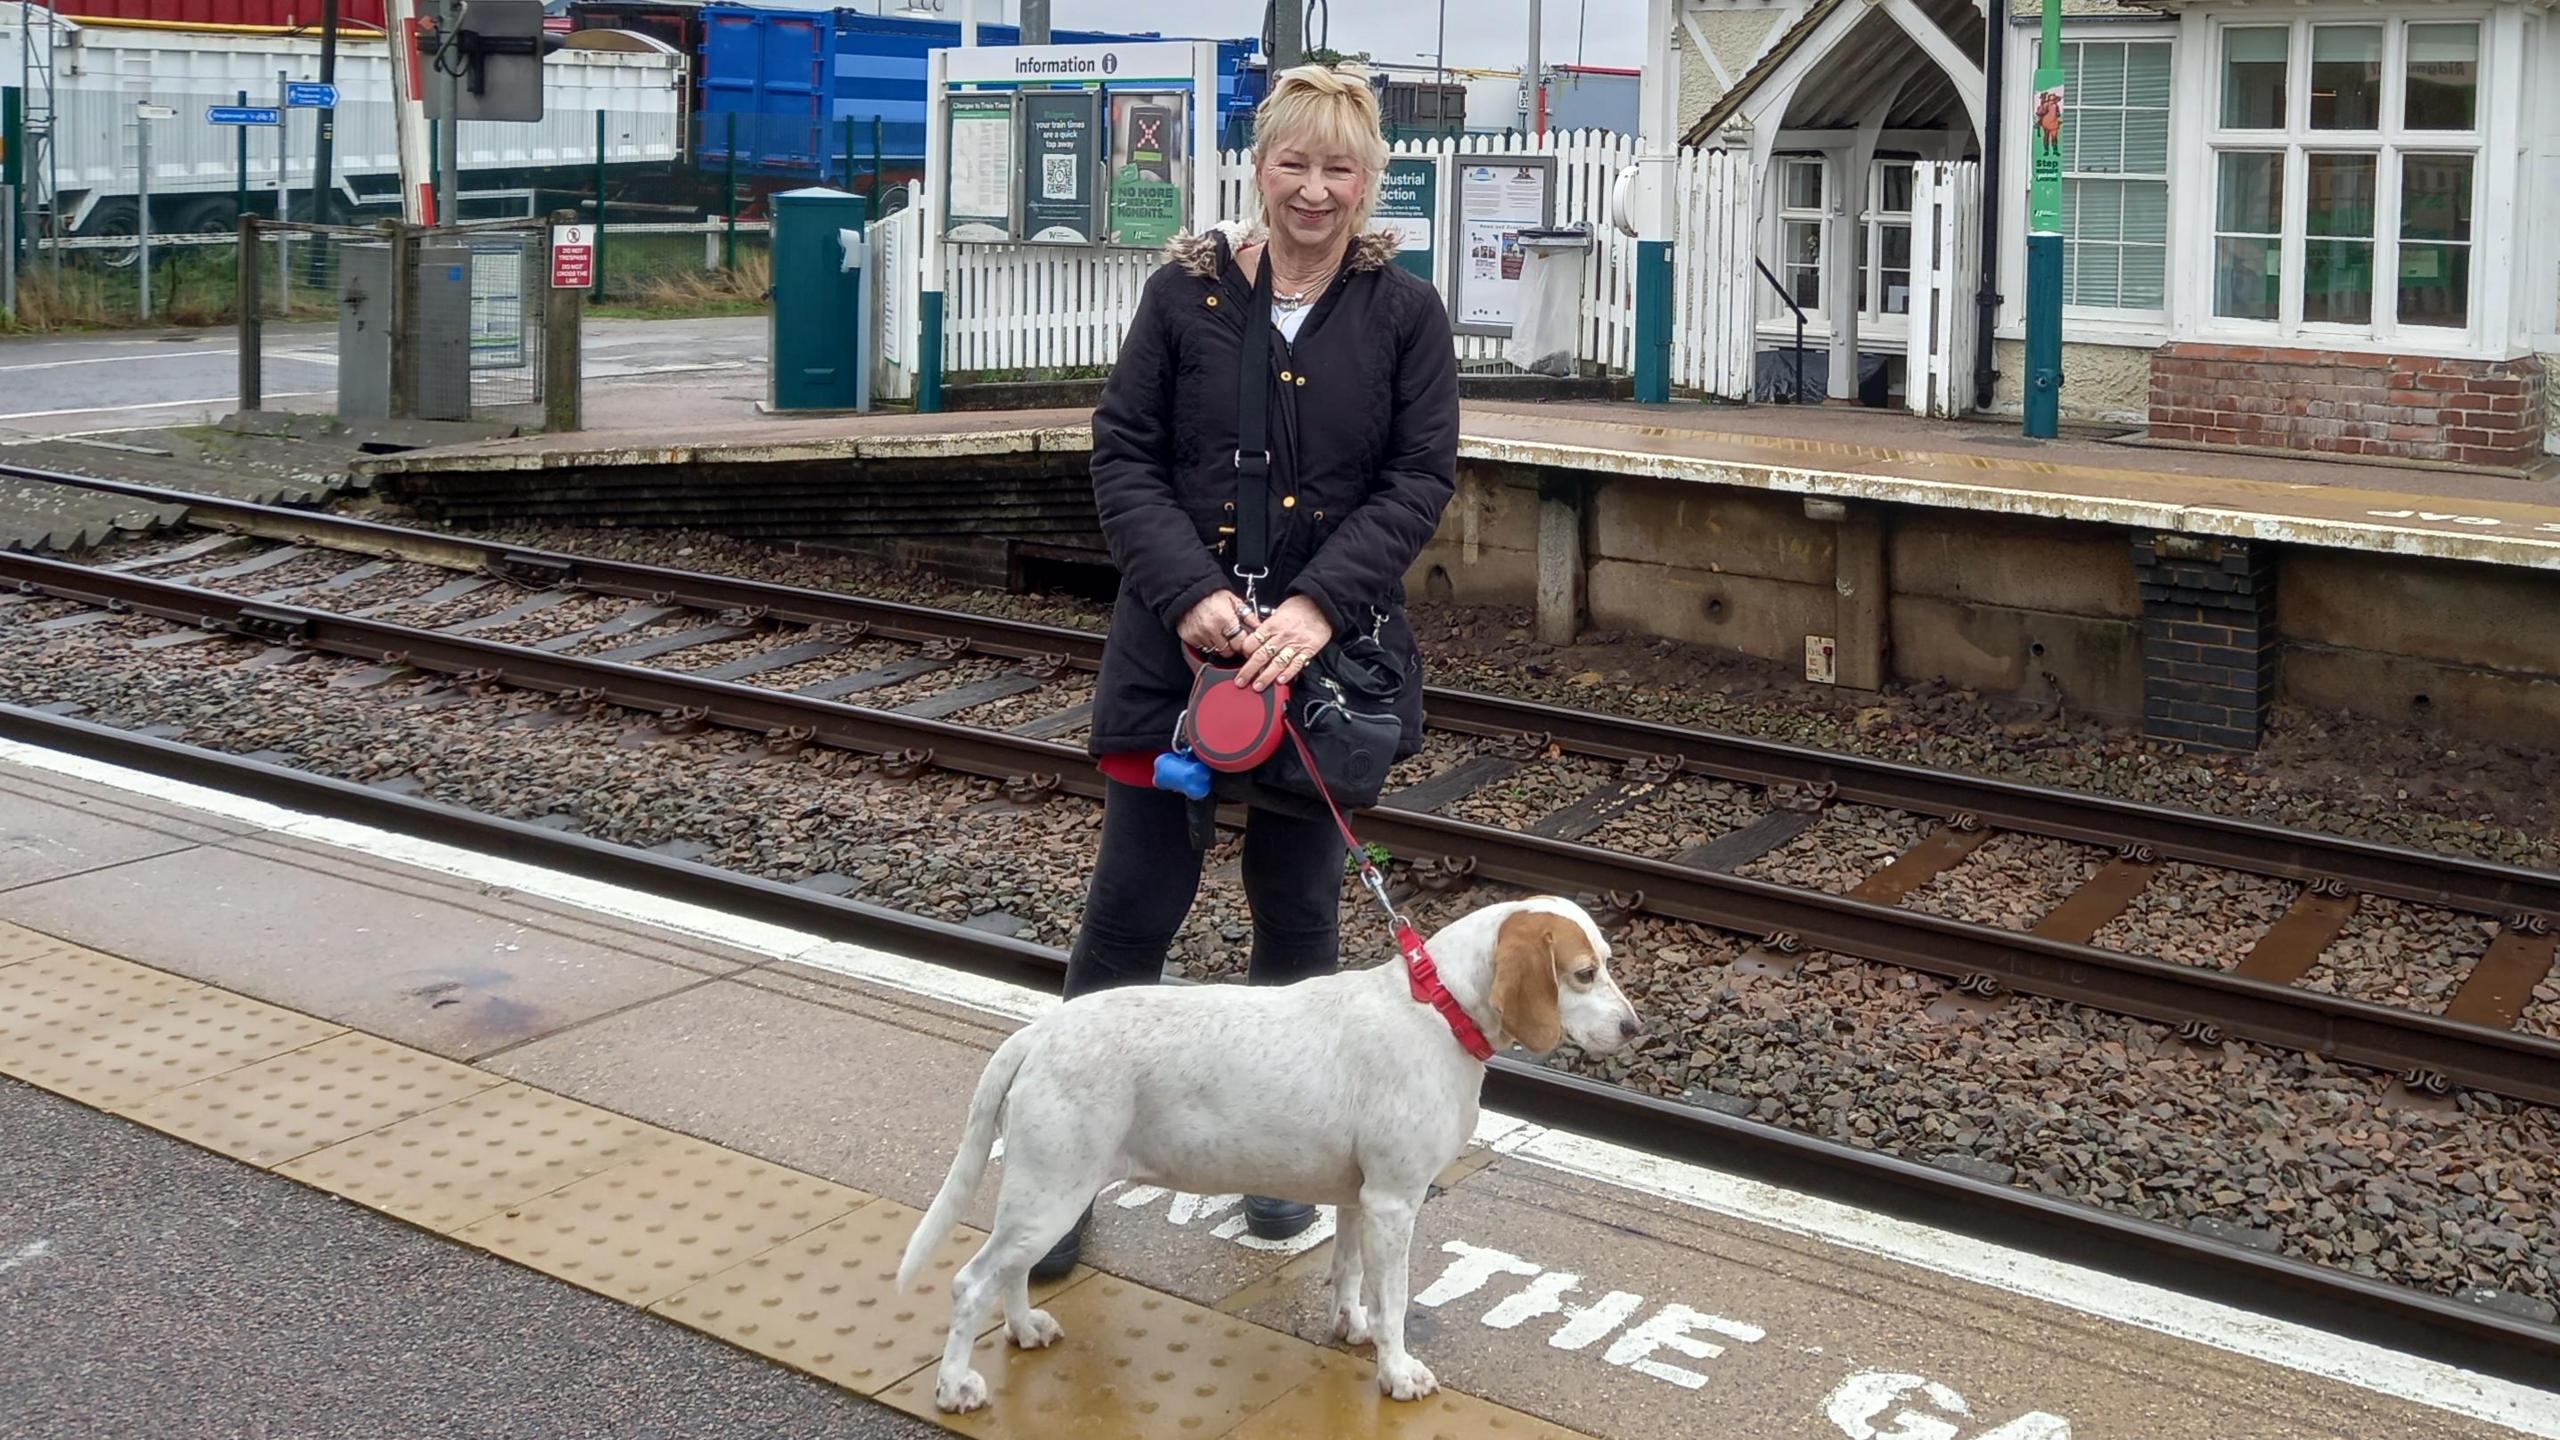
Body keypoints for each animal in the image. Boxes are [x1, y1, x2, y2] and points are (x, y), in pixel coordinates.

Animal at [896, 891, 1638, 1404]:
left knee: (1010, 1274)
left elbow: (1349, 1276)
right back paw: (955, 1386)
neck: (1436, 1009)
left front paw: (1350, 1327)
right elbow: (1395, 1302)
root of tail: (1039, 1033)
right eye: (1582, 973)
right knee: (970, 1284)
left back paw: (1024, 1329)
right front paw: (1397, 1373)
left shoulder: (1360, 1200)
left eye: (1605, 965)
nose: (1636, 1029)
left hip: (1041, 1199)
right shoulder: (1396, 1203)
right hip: (1051, 1194)